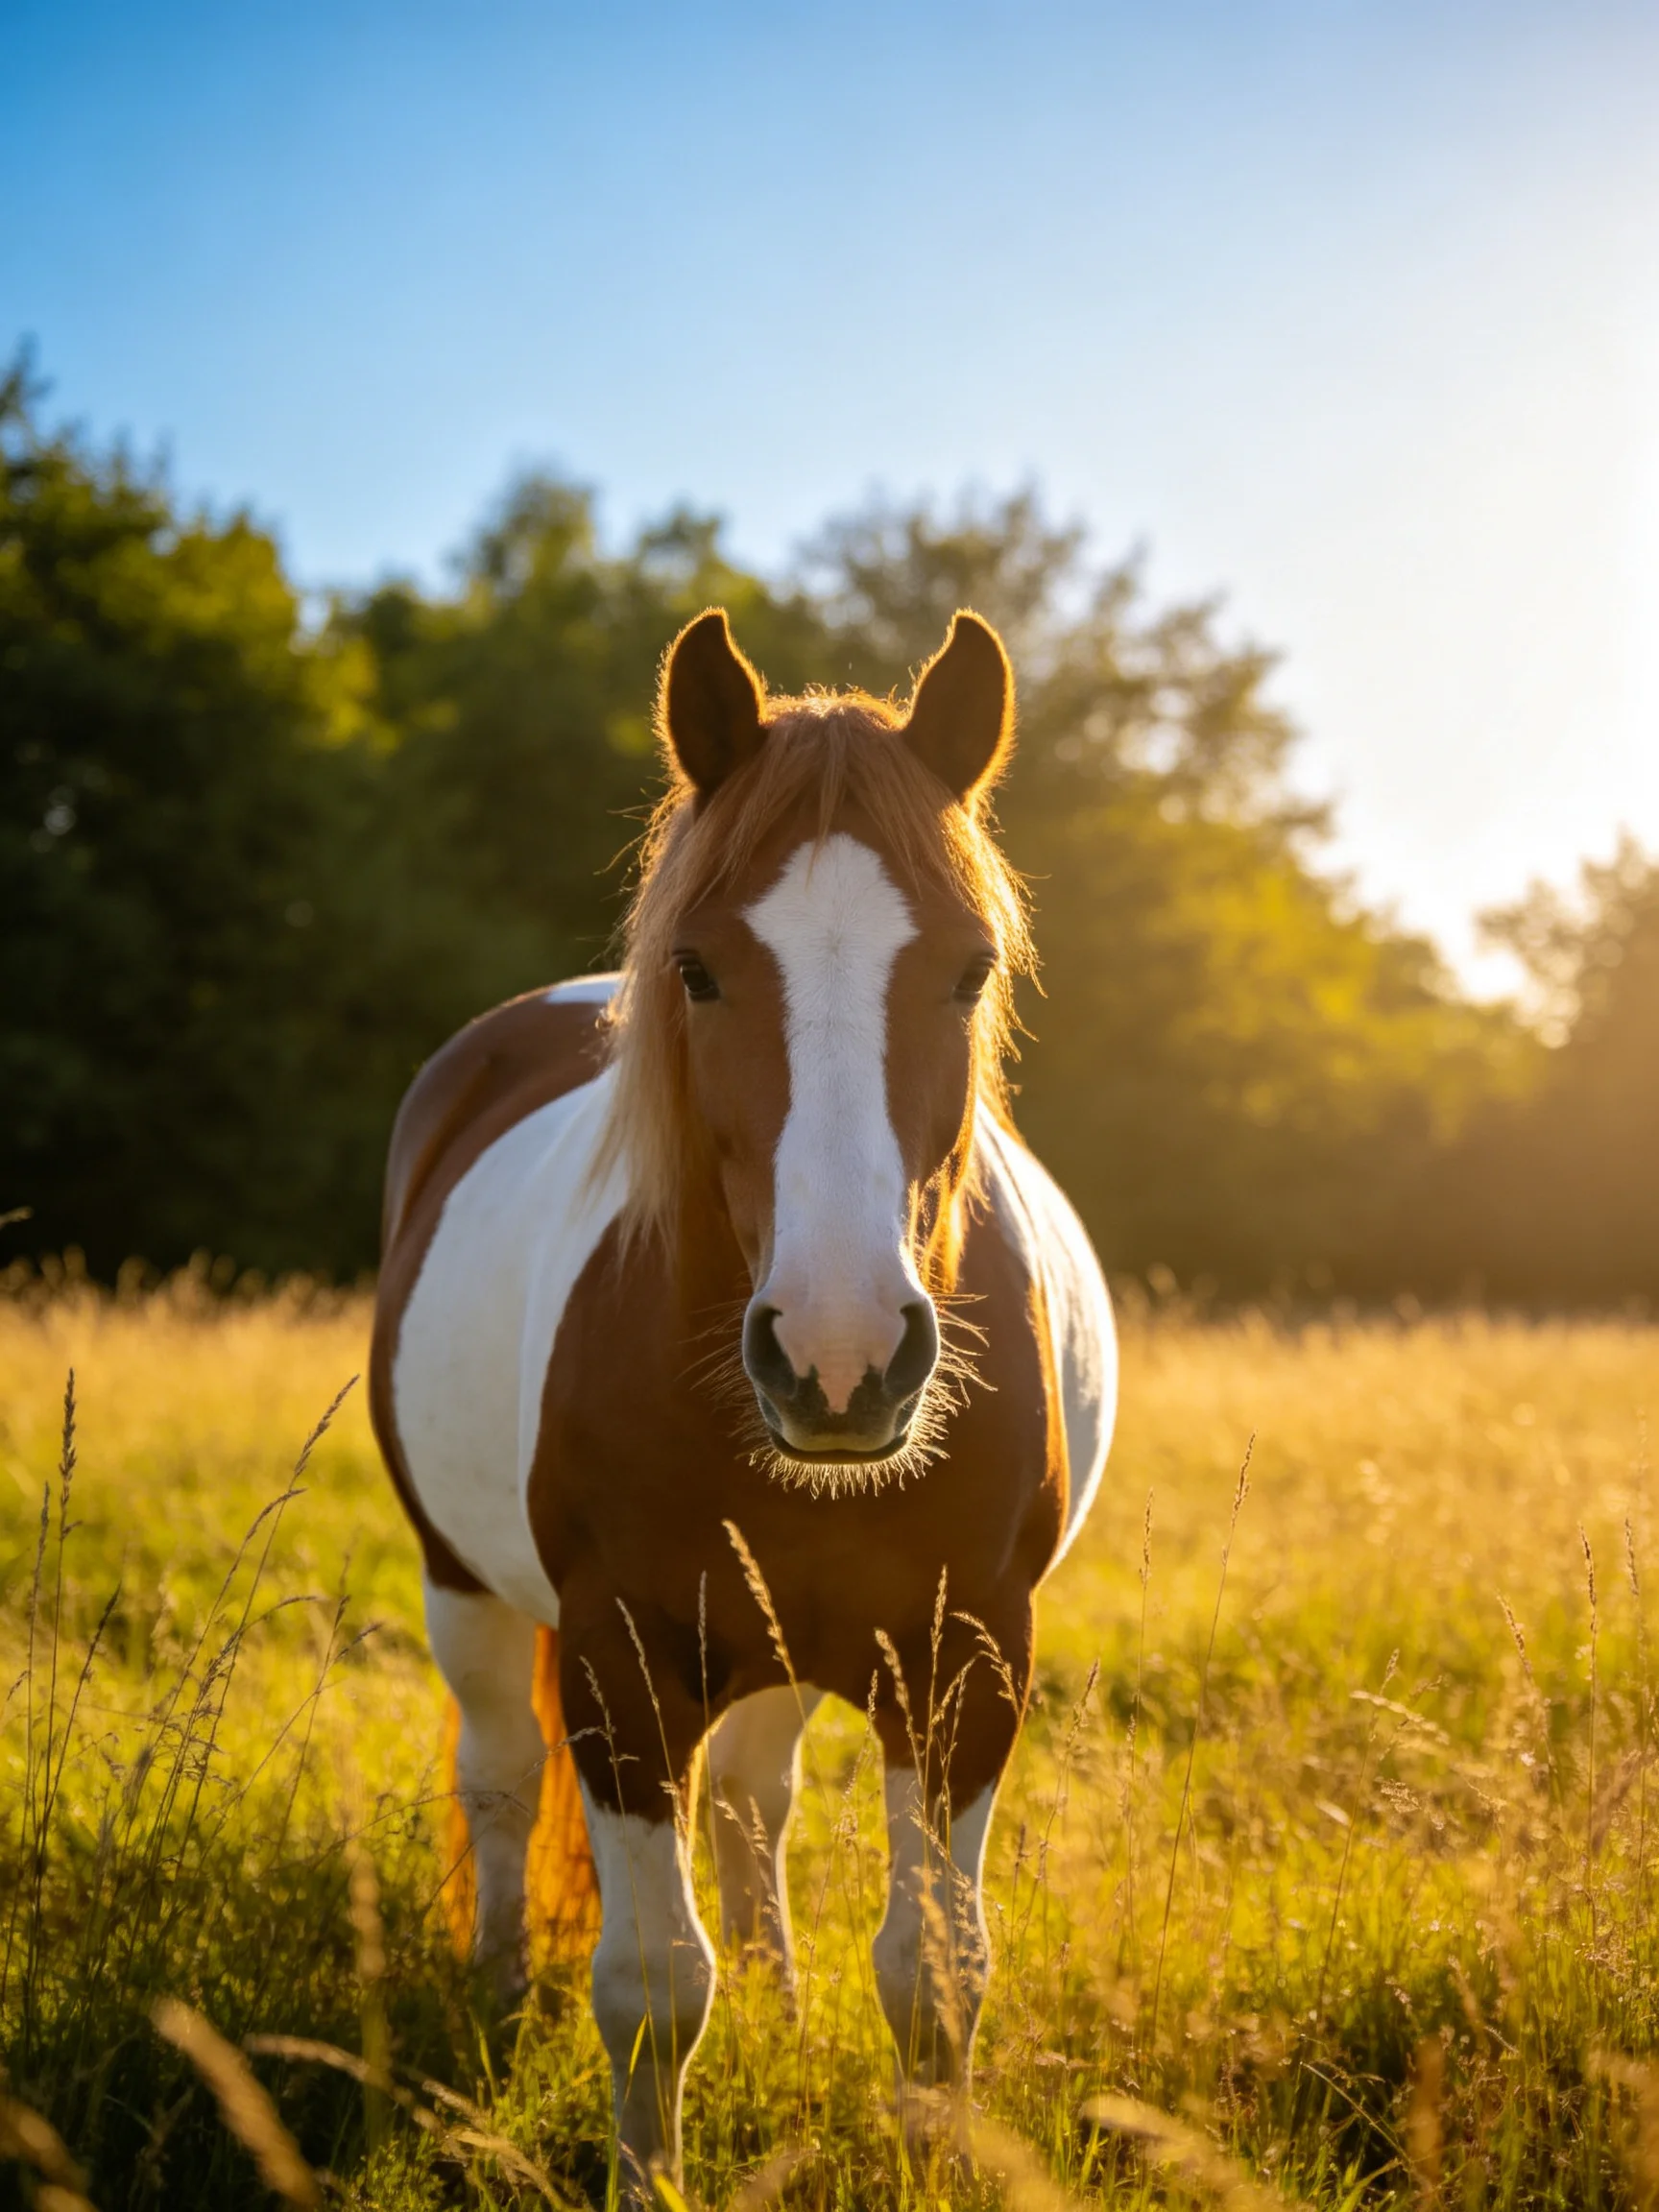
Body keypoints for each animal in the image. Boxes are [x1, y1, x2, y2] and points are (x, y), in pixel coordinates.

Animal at [368, 605, 1117, 2197]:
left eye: (970, 969)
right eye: (701, 971)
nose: (841, 1355)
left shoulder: (968, 1663)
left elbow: (935, 1971)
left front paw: (929, 2161)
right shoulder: (621, 1663)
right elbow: (652, 1986)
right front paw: (647, 2176)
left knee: (749, 1803)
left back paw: (778, 1997)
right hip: (465, 1583)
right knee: (500, 1778)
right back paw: (495, 1985)